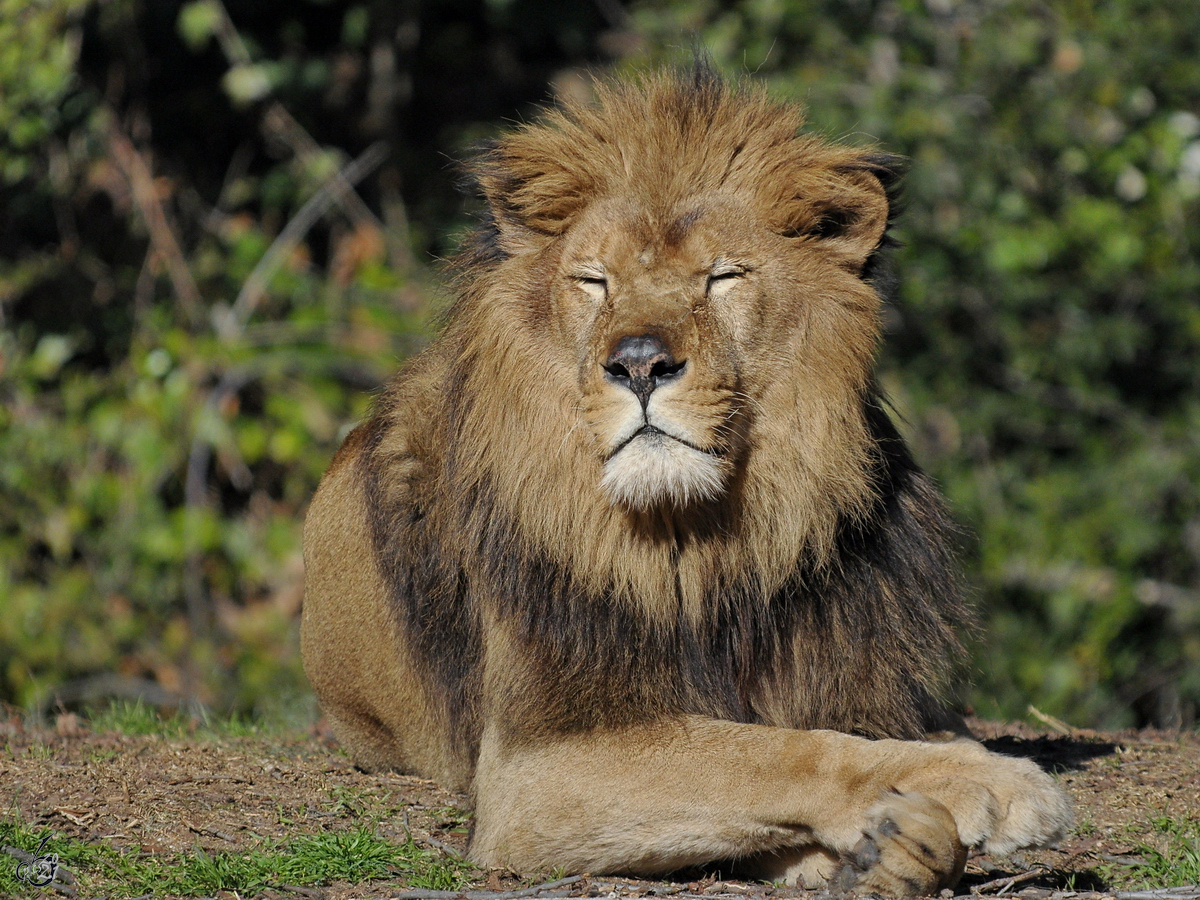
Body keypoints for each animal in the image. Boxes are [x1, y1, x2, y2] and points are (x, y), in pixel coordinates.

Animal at [300, 66, 1070, 897]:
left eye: (723, 276)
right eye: (594, 281)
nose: (639, 363)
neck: (702, 539)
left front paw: (898, 841)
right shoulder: (531, 767)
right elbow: (767, 751)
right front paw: (984, 785)